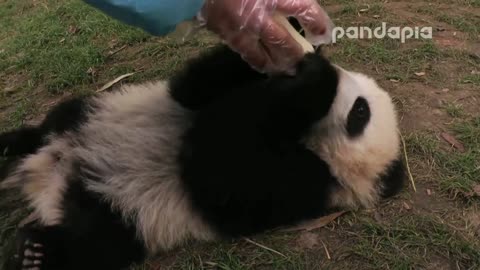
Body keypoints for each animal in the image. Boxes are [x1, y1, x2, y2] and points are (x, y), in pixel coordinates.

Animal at [0, 42, 404, 270]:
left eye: (360, 112)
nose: (337, 69)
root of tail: (46, 177)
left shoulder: (304, 188)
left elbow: (218, 170)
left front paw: (315, 80)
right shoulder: (196, 97)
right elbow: (193, 88)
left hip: (129, 217)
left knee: (96, 244)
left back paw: (34, 252)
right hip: (89, 112)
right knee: (54, 123)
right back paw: (10, 146)